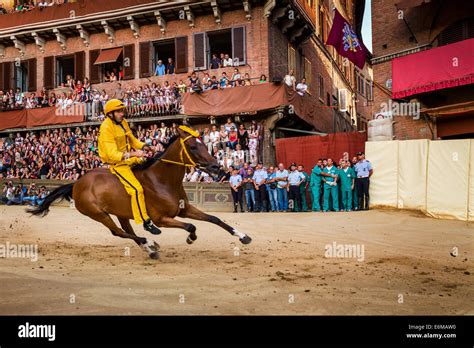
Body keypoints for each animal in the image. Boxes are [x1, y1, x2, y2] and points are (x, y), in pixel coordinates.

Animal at [29, 125, 252, 258]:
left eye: (204, 144)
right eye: (192, 147)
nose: (216, 167)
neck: (162, 181)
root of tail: (77, 183)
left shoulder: (184, 209)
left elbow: (215, 219)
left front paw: (243, 236)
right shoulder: (162, 219)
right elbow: (191, 226)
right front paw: (190, 238)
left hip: (120, 213)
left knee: (127, 230)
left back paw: (149, 247)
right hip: (98, 214)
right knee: (118, 232)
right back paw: (149, 244)